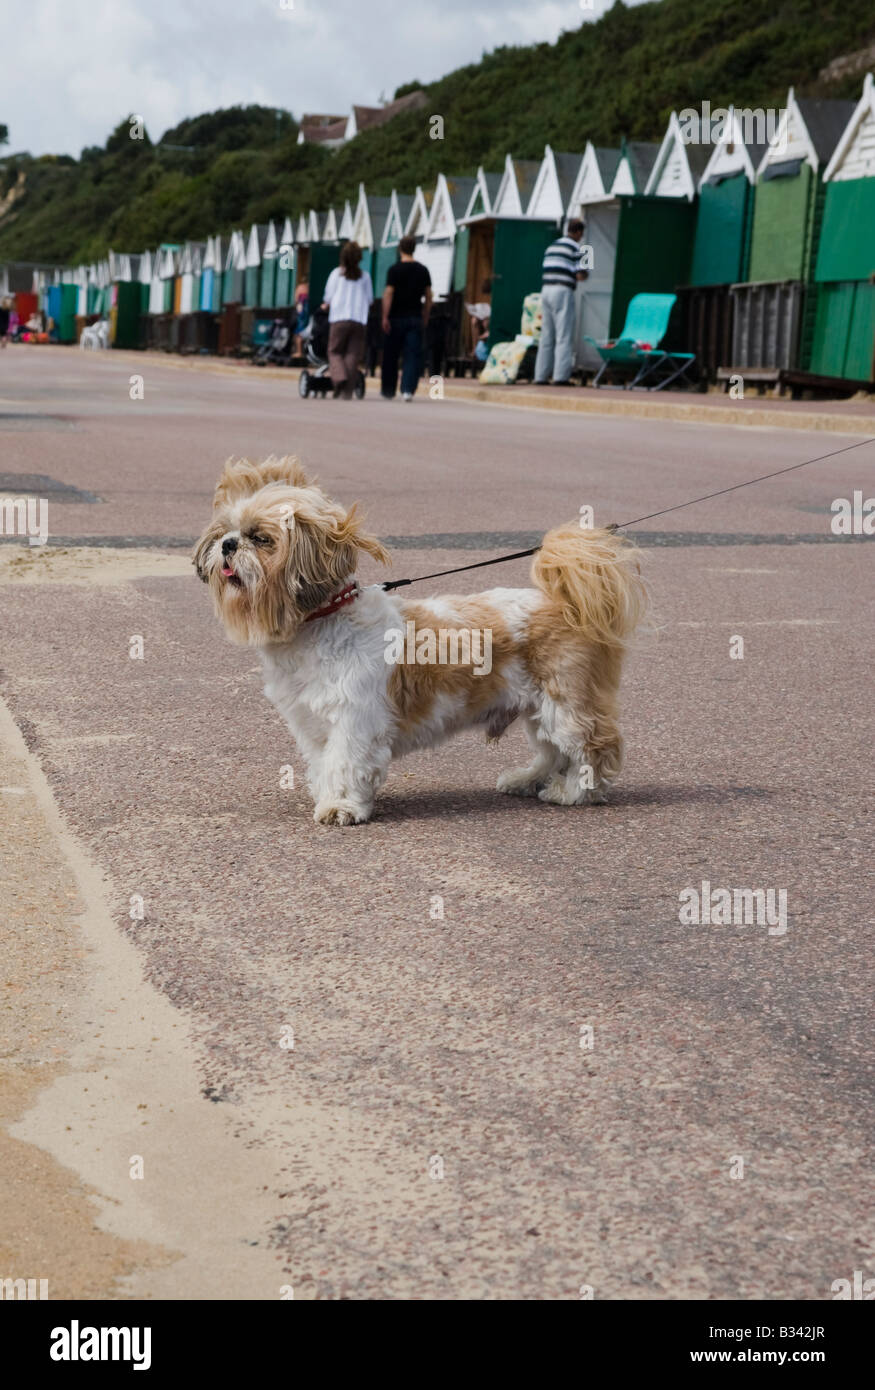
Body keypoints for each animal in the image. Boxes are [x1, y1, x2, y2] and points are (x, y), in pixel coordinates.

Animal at [193, 455, 642, 822]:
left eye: (261, 538)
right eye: (225, 531)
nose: (228, 545)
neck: (321, 622)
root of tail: (566, 604)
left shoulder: (355, 719)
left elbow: (345, 764)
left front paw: (341, 807)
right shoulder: (313, 724)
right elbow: (324, 764)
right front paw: (327, 796)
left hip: (565, 702)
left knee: (593, 748)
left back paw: (575, 792)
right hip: (537, 708)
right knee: (551, 751)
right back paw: (525, 779)